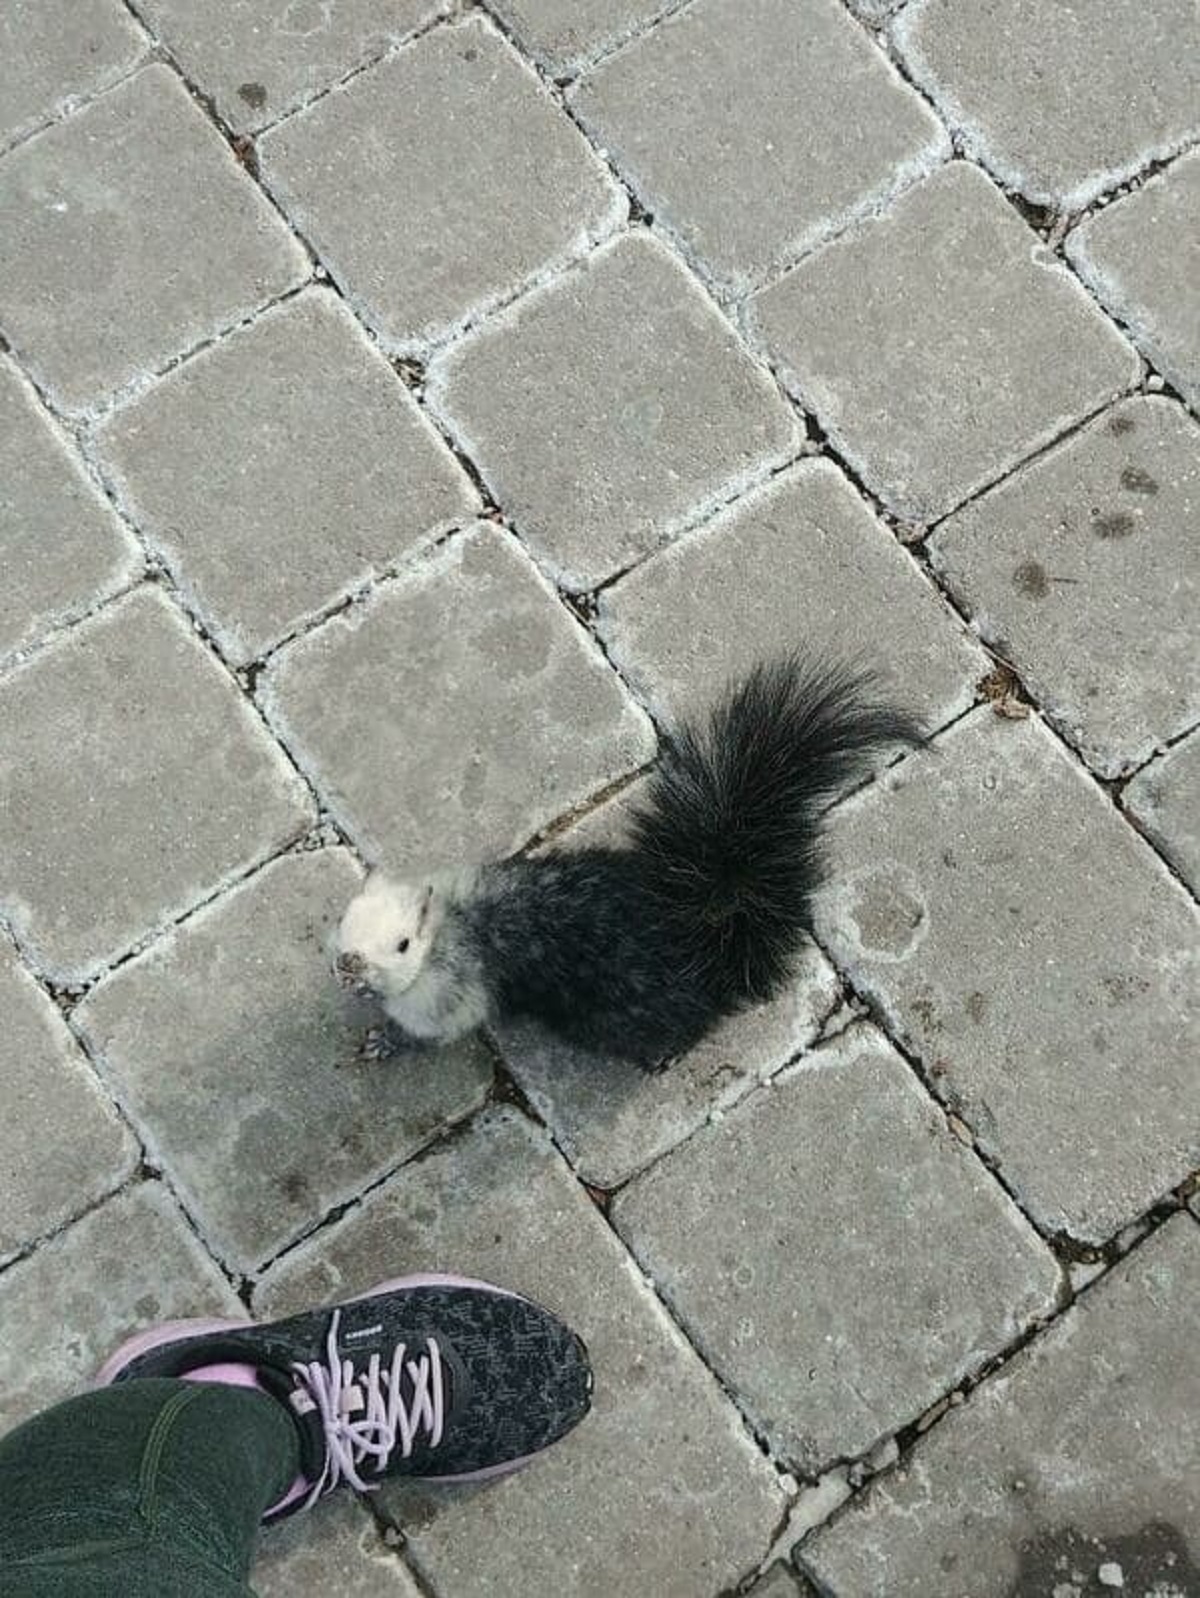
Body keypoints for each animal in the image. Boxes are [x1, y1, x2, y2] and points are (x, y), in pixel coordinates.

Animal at [333, 655, 926, 1080]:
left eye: (403, 944)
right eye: (345, 919)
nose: (348, 965)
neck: (452, 921)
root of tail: (709, 935)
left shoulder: (449, 991)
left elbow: (434, 1029)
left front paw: (385, 1041)